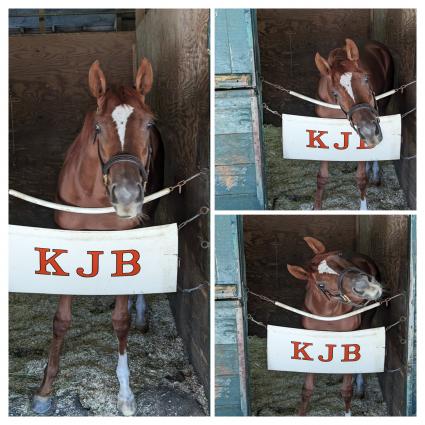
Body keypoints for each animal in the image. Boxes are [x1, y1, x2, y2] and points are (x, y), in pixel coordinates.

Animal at [31, 57, 164, 414]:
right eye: (98, 128)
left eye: (148, 124)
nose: (127, 196)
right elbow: (61, 319)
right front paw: (45, 390)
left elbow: (120, 321)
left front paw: (126, 394)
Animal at [286, 237, 382, 416]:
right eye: (321, 285)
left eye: (339, 255)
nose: (366, 287)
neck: (327, 312)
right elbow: (307, 388)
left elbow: (346, 389)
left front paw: (348, 412)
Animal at [314, 39, 392, 209]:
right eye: (335, 93)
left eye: (366, 79)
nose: (369, 131)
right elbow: (322, 176)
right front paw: (317, 207)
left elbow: (361, 178)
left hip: (381, 108)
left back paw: (375, 173)